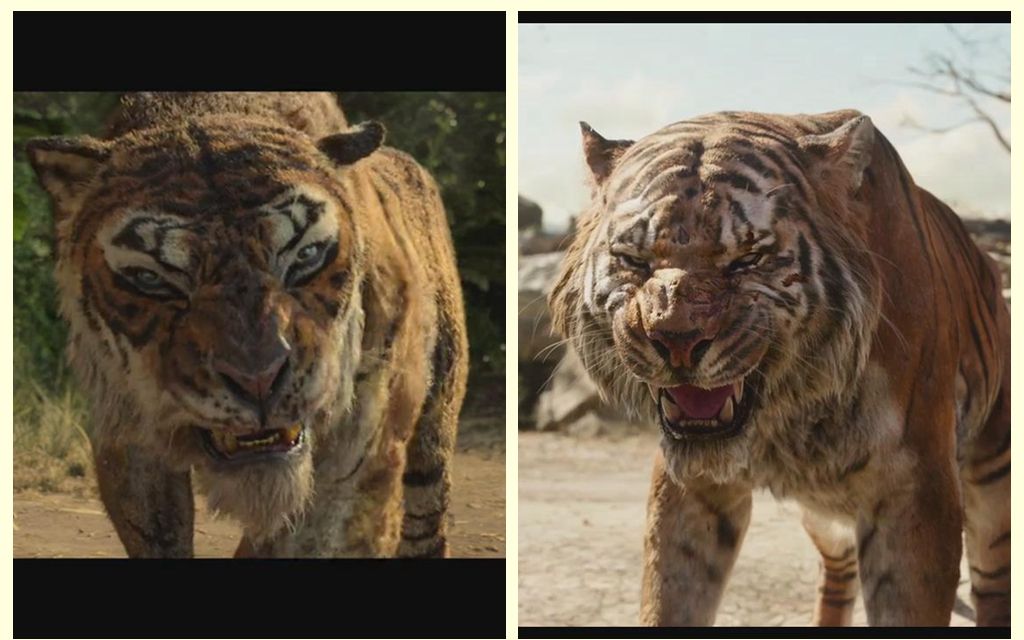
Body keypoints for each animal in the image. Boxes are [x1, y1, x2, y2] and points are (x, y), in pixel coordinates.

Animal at [27, 91, 468, 558]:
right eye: (151, 278)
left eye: (306, 255)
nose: (258, 380)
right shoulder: (127, 433)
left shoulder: (358, 456)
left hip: (430, 449)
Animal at [549, 110, 1009, 626]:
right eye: (635, 261)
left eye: (747, 260)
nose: (676, 340)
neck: (789, 413)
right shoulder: (691, 487)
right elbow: (668, 596)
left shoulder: (915, 489)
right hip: (826, 522)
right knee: (838, 572)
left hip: (994, 494)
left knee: (994, 585)